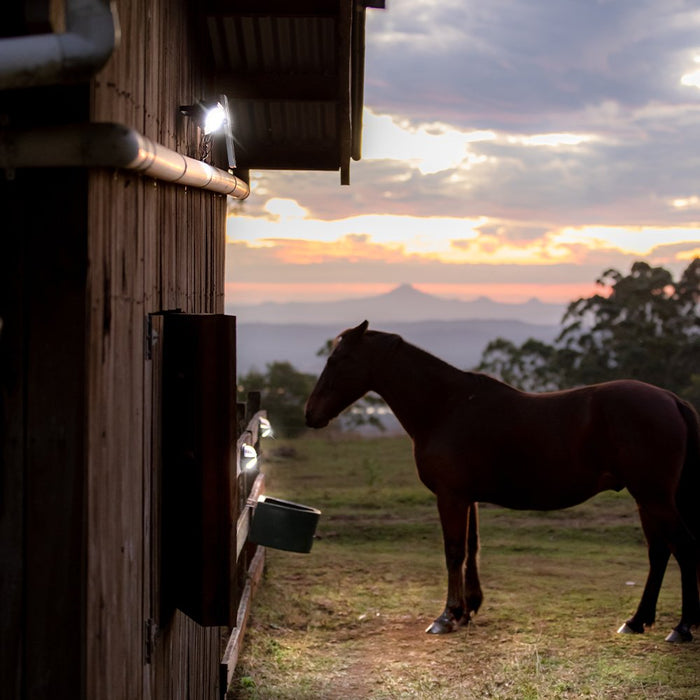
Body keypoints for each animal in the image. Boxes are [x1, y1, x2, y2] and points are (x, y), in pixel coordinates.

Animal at [304, 320, 700, 644]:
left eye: (337, 360)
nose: (310, 415)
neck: (446, 406)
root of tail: (671, 399)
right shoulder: (467, 497)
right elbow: (472, 548)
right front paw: (467, 611)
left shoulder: (450, 496)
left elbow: (454, 551)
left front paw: (446, 616)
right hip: (647, 498)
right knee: (659, 552)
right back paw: (637, 621)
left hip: (653, 497)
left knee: (682, 547)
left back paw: (681, 628)